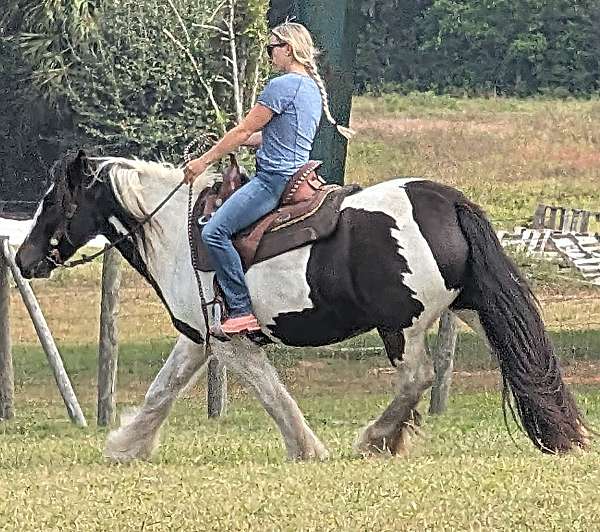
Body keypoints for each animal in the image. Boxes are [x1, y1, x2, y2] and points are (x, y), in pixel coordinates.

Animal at [16, 148, 588, 460]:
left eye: (52, 200)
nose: (23, 258)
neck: (176, 229)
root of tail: (444, 199)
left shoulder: (232, 344)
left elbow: (274, 396)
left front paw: (307, 448)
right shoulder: (199, 339)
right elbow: (162, 391)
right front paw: (126, 445)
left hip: (401, 327)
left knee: (416, 379)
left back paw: (377, 439)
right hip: (472, 309)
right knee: (526, 362)